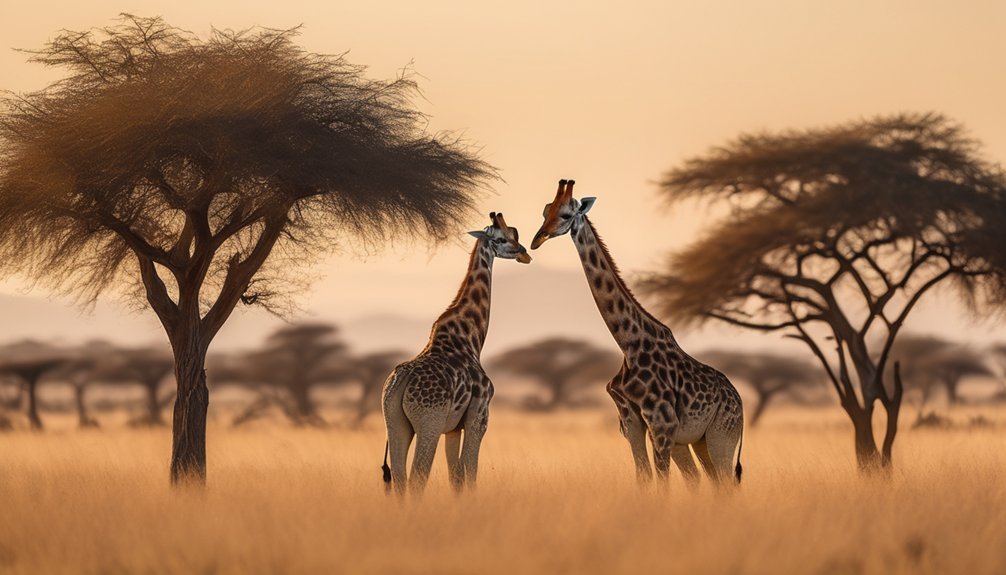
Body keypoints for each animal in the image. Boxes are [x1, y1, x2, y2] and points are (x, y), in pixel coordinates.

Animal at [382, 212, 531, 495]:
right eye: (502, 238)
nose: (524, 253)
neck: (471, 338)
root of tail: (399, 383)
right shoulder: (479, 416)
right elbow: (470, 473)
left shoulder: (452, 428)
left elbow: (456, 477)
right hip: (429, 423)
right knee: (417, 478)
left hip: (396, 423)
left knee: (399, 478)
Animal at [530, 179, 744, 486]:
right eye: (545, 210)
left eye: (566, 214)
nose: (537, 239)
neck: (628, 344)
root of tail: (740, 403)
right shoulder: (630, 422)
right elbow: (643, 478)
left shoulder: (661, 425)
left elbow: (662, 482)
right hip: (696, 441)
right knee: (706, 481)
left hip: (722, 435)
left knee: (725, 482)